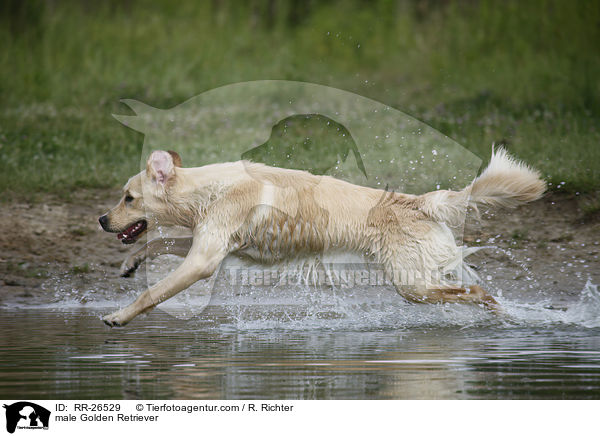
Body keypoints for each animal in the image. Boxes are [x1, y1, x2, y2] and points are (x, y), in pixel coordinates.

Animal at [97, 148, 544, 326]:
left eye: (128, 197)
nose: (102, 219)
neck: (206, 189)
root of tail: (418, 202)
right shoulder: (209, 245)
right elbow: (157, 243)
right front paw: (130, 263)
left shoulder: (204, 261)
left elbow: (152, 293)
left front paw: (118, 316)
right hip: (423, 280)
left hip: (412, 286)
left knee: (479, 292)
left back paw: (505, 316)